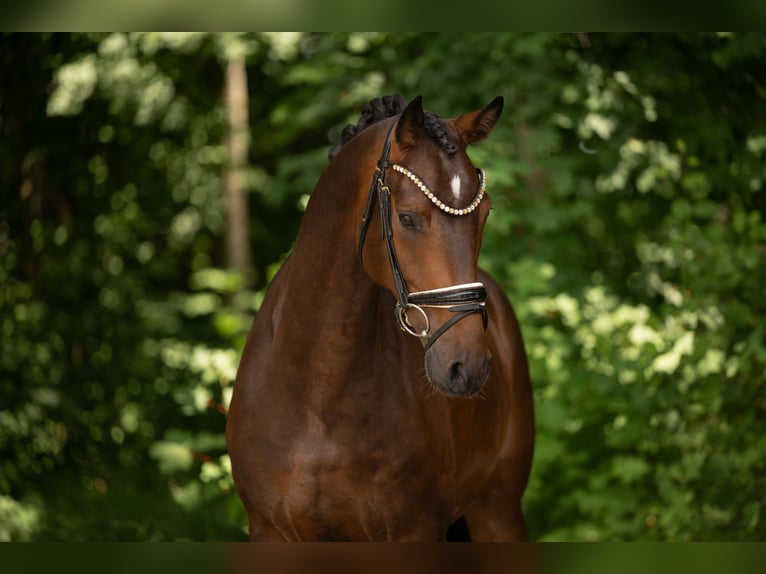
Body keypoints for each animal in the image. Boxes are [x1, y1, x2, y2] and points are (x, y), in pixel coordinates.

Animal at [226, 94, 534, 541]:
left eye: (485, 214)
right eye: (407, 218)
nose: (468, 366)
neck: (318, 393)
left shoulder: (415, 530)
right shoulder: (271, 532)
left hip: (498, 509)